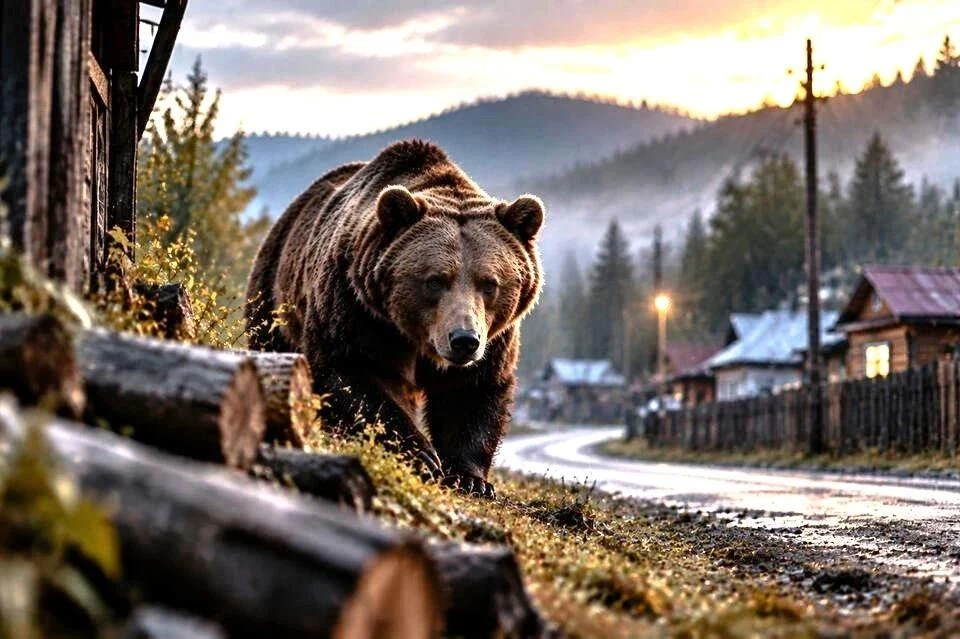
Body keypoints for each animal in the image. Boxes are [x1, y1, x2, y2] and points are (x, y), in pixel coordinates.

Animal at [245, 140, 544, 496]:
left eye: (489, 283)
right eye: (435, 280)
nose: (464, 341)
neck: (417, 339)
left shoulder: (496, 336)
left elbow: (474, 390)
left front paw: (470, 478)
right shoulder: (357, 308)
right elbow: (353, 373)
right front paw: (421, 454)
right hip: (273, 292)